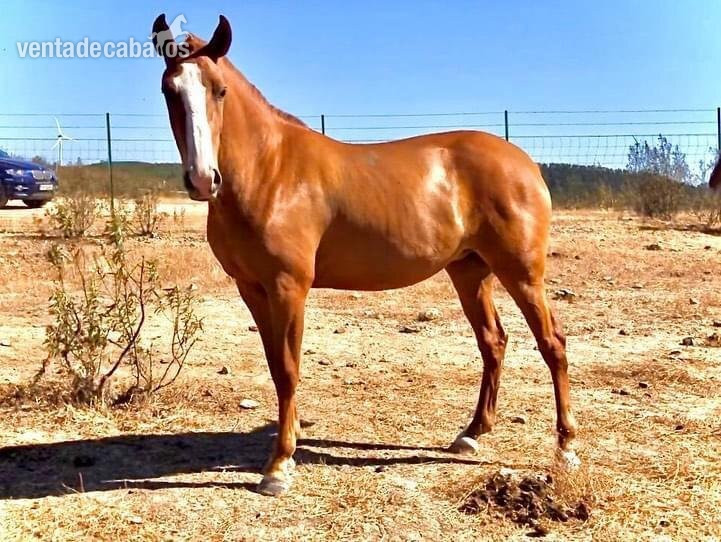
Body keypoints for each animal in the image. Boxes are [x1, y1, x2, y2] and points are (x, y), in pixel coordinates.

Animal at [152, 14, 579, 496]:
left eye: (220, 89)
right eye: (170, 90)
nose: (203, 179)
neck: (270, 171)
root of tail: (524, 162)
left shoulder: (288, 288)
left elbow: (288, 369)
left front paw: (278, 466)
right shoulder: (252, 289)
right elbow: (276, 367)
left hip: (521, 272)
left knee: (552, 344)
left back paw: (566, 447)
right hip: (470, 271)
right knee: (493, 342)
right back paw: (471, 434)